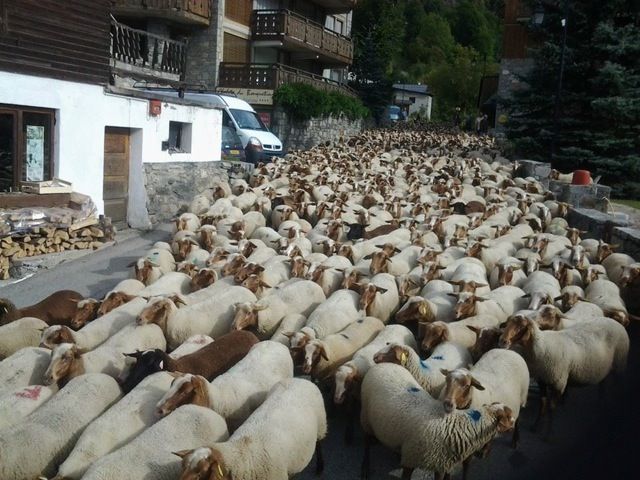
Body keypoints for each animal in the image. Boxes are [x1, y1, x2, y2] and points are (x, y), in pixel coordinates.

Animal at [174, 376, 324, 480]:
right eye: (182, 468)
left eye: (199, 474)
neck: (243, 458)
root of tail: (300, 379)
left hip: (321, 426)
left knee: (319, 444)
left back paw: (320, 468)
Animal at [500, 314, 632, 434]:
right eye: (507, 324)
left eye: (521, 326)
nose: (502, 341)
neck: (541, 346)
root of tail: (616, 322)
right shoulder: (542, 380)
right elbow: (543, 404)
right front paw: (536, 426)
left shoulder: (559, 383)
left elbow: (551, 408)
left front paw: (548, 433)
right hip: (604, 367)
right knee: (603, 384)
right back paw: (601, 402)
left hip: (620, 363)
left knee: (620, 385)